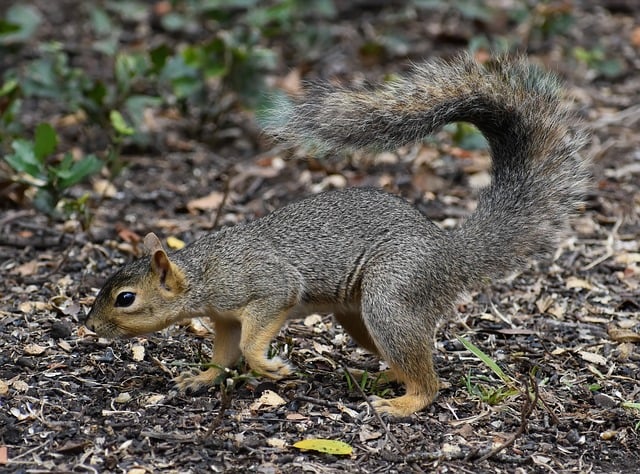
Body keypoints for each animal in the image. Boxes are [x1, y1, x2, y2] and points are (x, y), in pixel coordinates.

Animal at [85, 55, 592, 416]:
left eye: (125, 299)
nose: (88, 326)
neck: (201, 273)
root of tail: (450, 252)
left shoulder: (266, 287)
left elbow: (252, 340)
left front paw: (270, 366)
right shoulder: (225, 317)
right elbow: (226, 351)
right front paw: (202, 377)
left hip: (393, 296)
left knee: (431, 381)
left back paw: (402, 404)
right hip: (360, 317)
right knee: (407, 358)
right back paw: (390, 378)